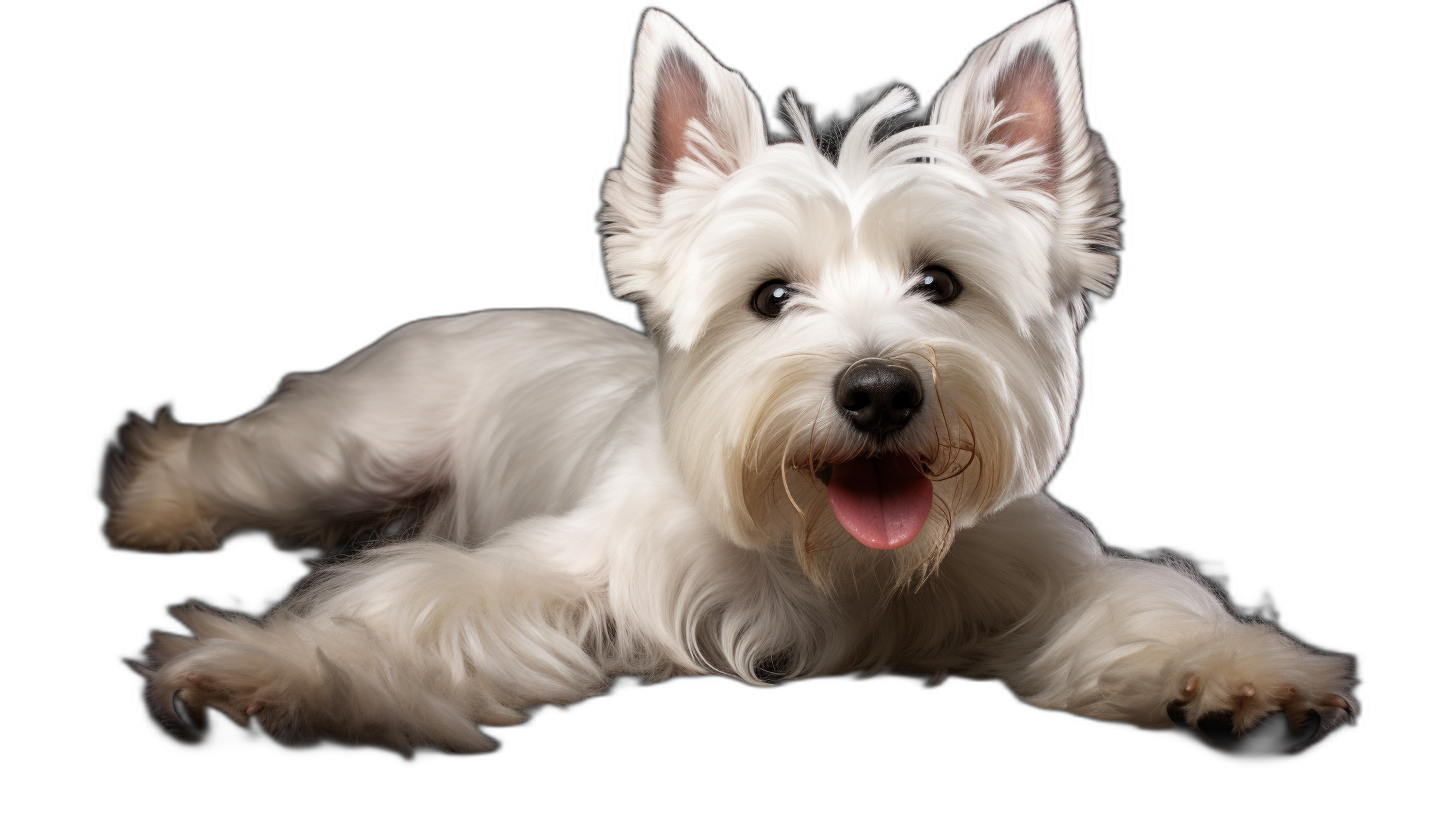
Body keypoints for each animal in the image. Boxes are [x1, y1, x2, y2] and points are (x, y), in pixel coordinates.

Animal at [105, 3, 1351, 757]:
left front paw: (1245, 675)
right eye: (769, 297)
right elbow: (412, 608)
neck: (830, 556)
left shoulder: (1040, 579)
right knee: (225, 454)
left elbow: (1144, 604)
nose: (878, 392)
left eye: (941, 284)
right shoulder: (561, 572)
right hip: (351, 446)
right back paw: (156, 508)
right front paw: (273, 676)